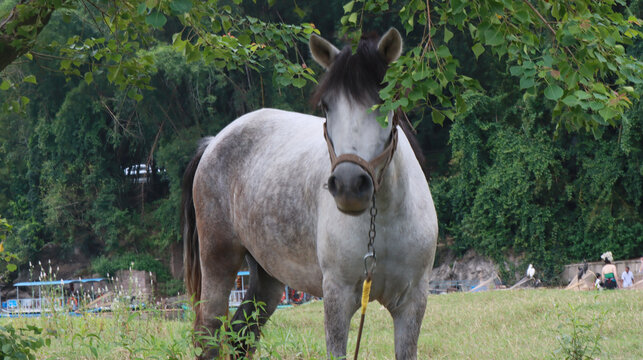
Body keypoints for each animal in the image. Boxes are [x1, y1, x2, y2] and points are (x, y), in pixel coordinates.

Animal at [184, 28, 440, 360]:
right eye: (326, 106)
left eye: (383, 102)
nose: (349, 185)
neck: (383, 222)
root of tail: (215, 141)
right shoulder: (337, 298)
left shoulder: (412, 303)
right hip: (218, 260)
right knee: (211, 333)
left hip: (267, 277)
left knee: (243, 333)